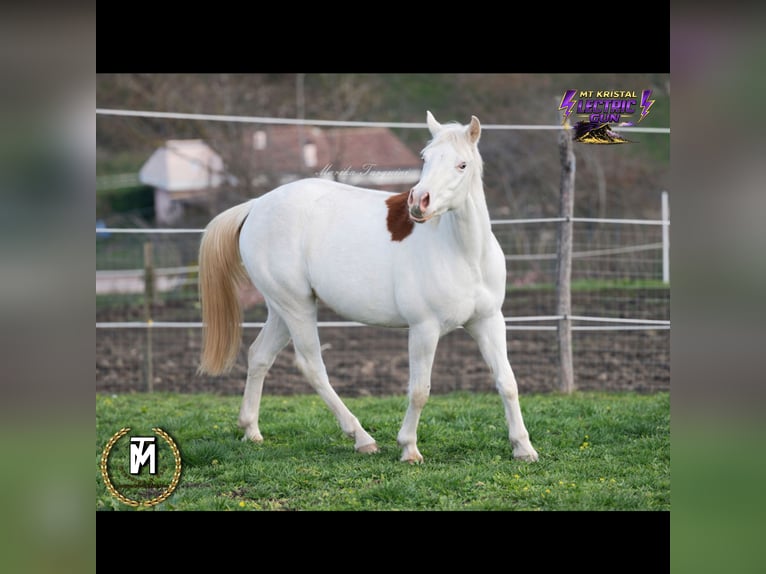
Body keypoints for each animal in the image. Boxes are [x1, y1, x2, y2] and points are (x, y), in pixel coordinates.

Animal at [197, 111, 539, 463]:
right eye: (426, 158)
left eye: (462, 164)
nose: (418, 202)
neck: (464, 254)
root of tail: (256, 206)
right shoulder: (424, 328)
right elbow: (420, 390)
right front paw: (409, 448)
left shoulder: (488, 321)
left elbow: (507, 382)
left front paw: (524, 448)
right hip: (296, 307)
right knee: (311, 366)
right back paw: (361, 437)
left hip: (282, 308)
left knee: (259, 356)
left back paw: (251, 430)